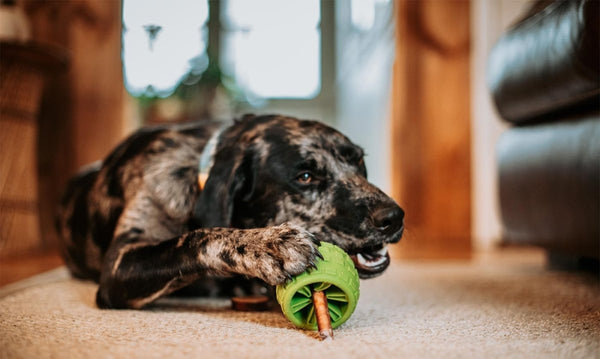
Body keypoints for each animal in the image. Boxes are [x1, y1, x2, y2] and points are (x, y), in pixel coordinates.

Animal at [57, 114, 404, 310]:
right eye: (305, 177)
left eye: (358, 160)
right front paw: (267, 245)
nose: (393, 217)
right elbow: (197, 238)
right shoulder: (118, 265)